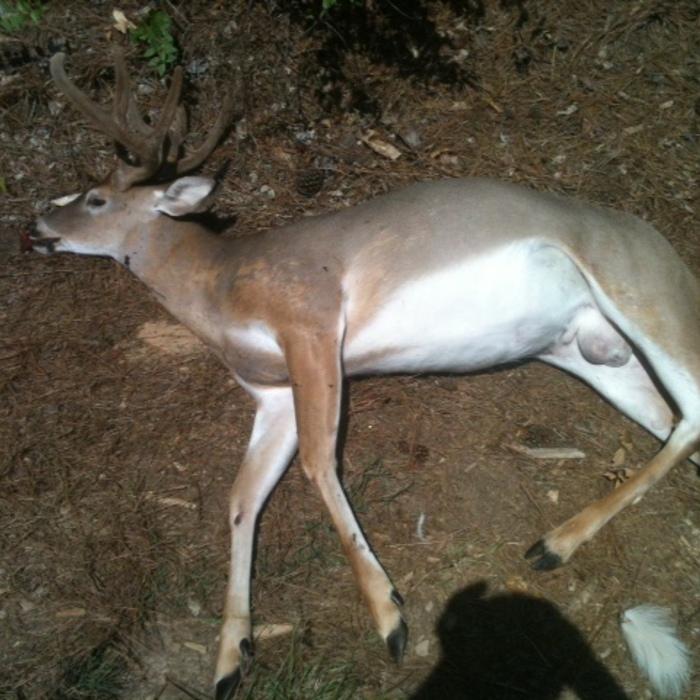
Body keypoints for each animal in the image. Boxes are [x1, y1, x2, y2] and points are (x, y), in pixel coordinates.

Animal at [29, 50, 700, 699]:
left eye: (95, 198)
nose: (37, 224)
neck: (219, 284)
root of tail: (665, 249)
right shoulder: (272, 395)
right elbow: (242, 498)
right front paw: (230, 656)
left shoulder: (311, 319)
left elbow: (318, 462)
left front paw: (389, 615)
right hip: (587, 351)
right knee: (671, 422)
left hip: (639, 293)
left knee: (689, 413)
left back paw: (552, 544)